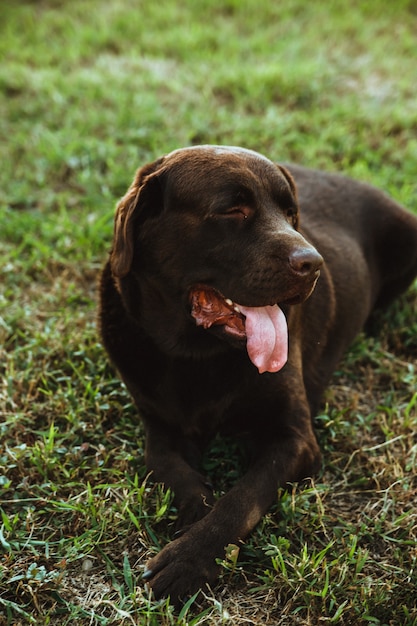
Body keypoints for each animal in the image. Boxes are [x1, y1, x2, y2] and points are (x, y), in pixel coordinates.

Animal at [98, 145, 416, 600]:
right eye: (233, 210)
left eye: (290, 212)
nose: (313, 263)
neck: (196, 355)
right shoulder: (159, 428)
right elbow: (169, 468)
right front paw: (195, 509)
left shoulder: (295, 438)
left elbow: (242, 497)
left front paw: (190, 557)